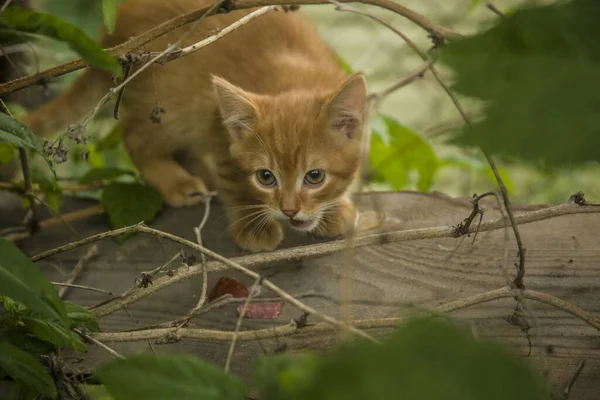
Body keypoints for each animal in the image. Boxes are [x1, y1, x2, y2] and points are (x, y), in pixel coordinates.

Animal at [19, 0, 366, 250]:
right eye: (265, 177)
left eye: (315, 177)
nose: (290, 210)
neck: (293, 78)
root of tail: (111, 44)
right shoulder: (217, 123)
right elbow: (235, 180)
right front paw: (252, 226)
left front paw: (334, 208)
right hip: (168, 105)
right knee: (134, 135)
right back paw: (177, 182)